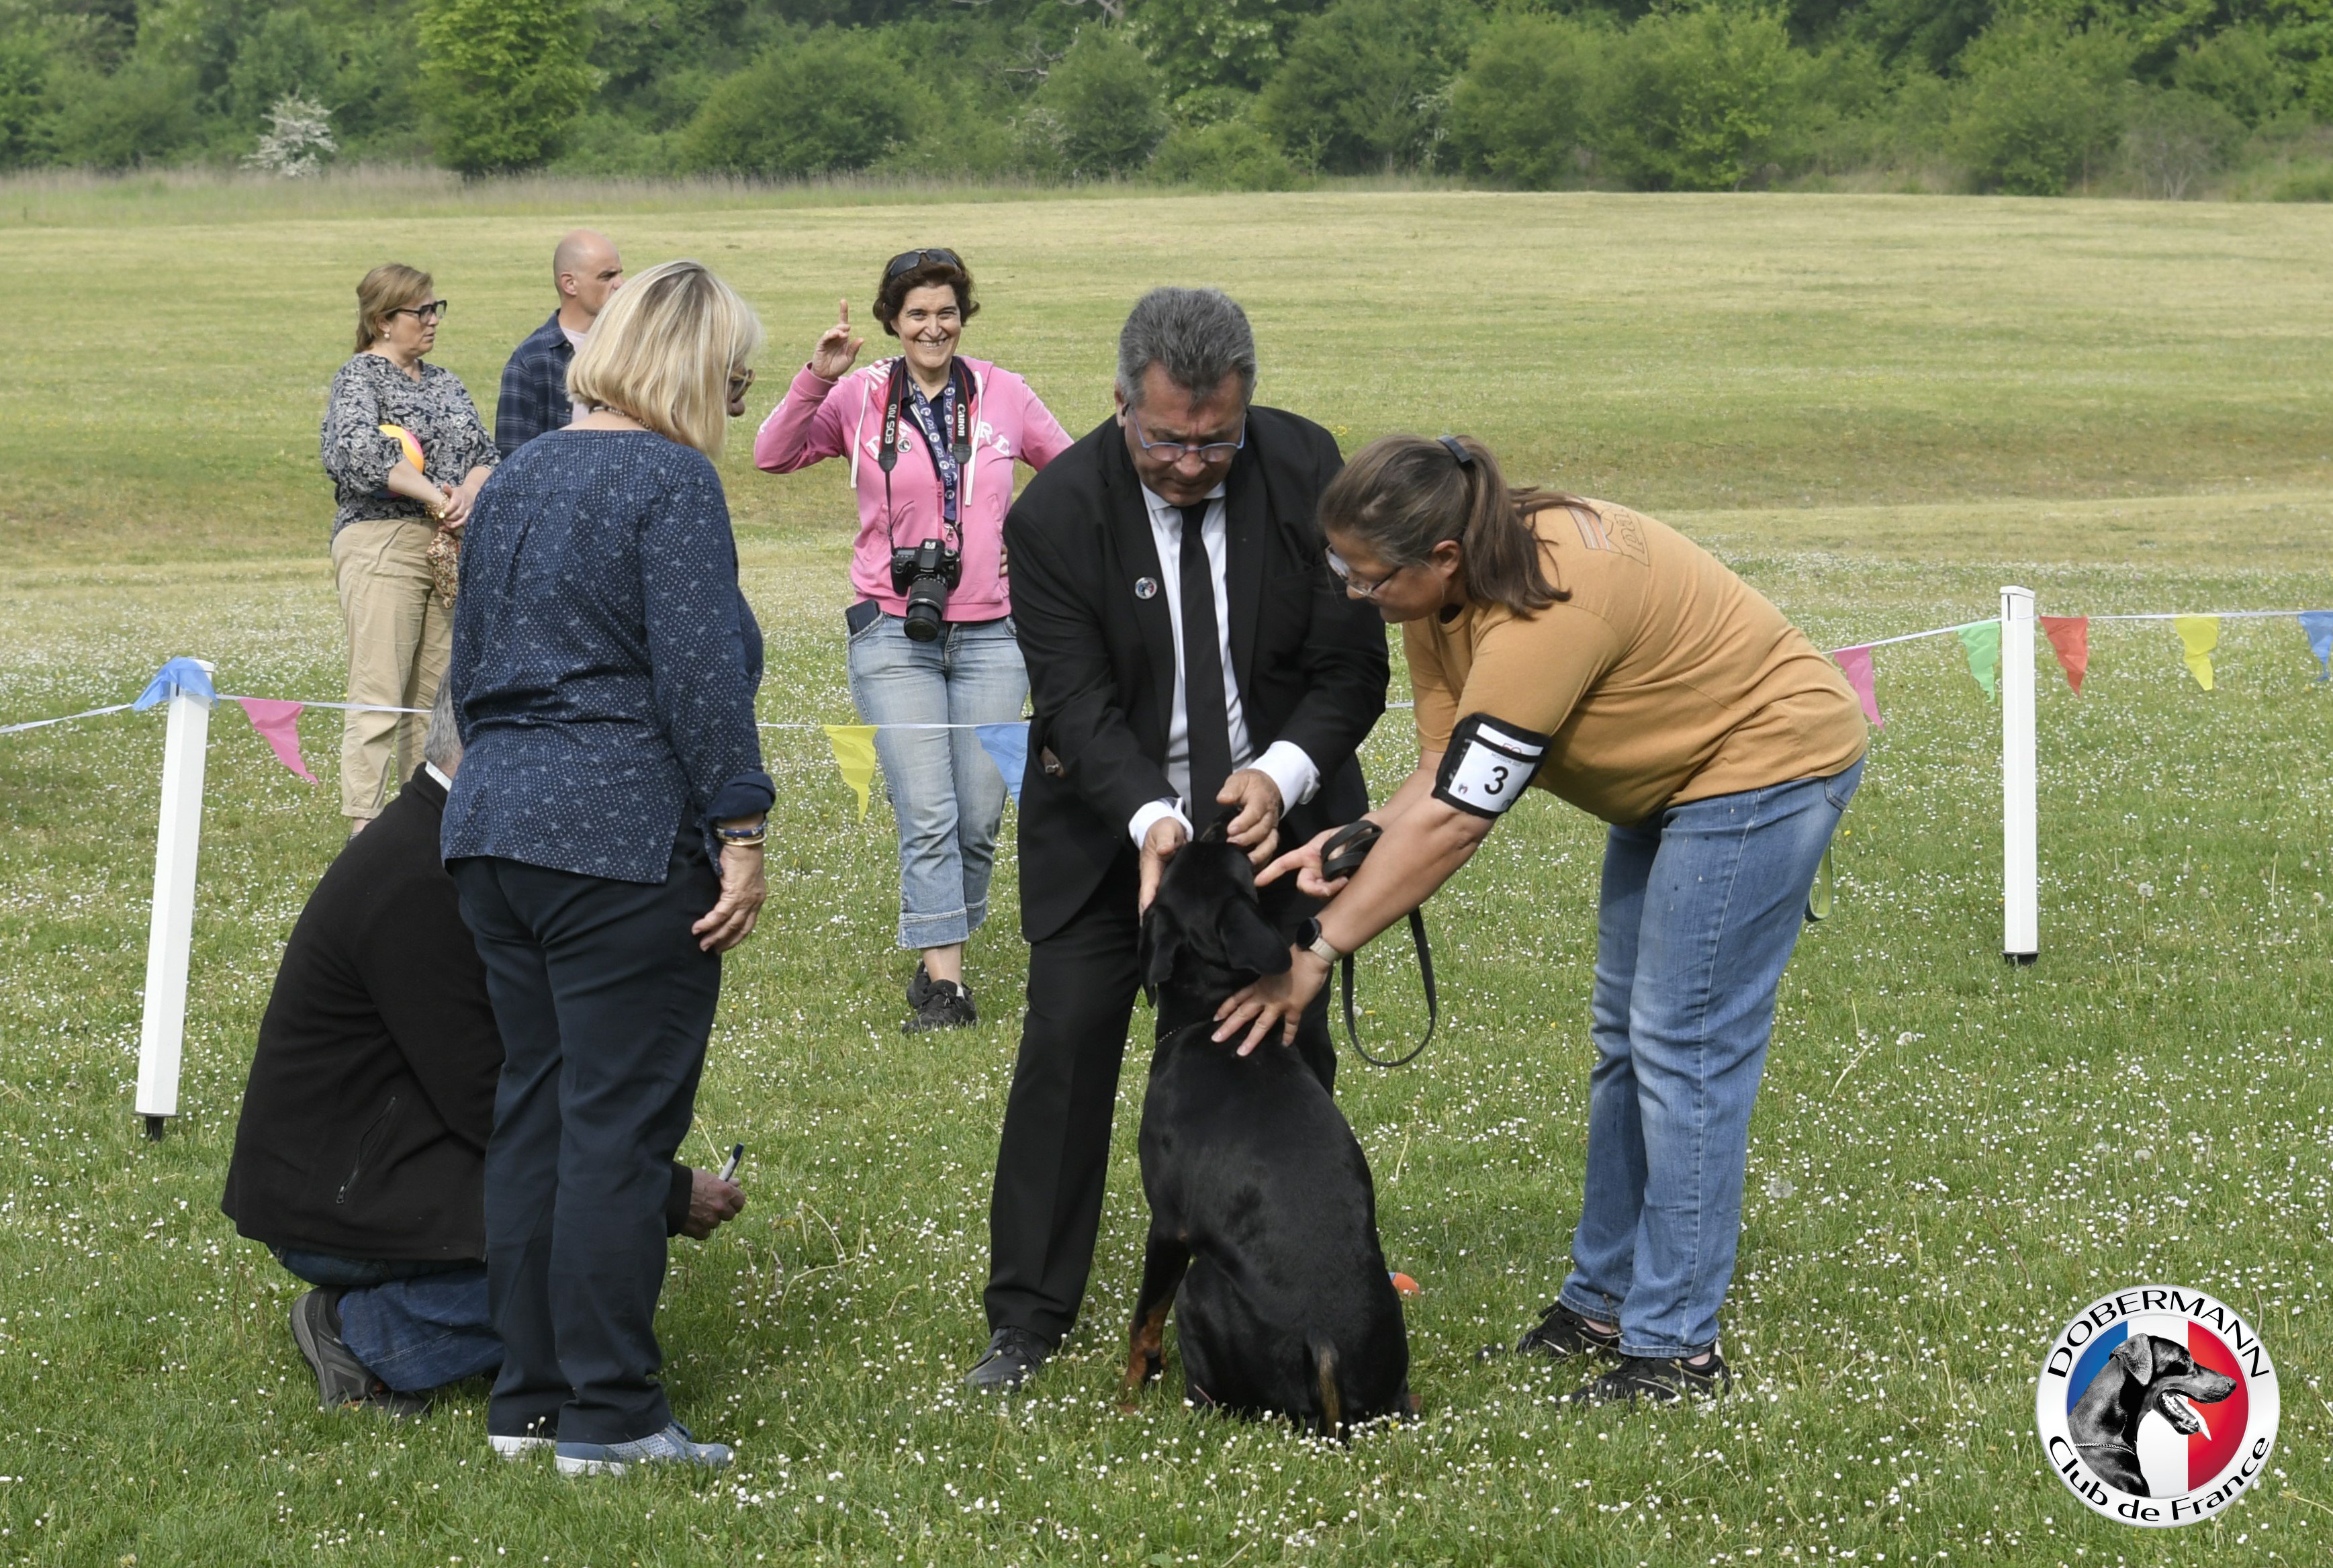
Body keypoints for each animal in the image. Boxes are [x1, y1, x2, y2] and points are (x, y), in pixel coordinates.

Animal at [1120, 820, 1412, 1437]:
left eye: (1204, 850)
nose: (1215, 821)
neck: (1210, 1021)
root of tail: (1325, 1347)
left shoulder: (1169, 1225)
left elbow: (1144, 1321)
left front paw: (1129, 1391)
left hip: (1201, 1285)